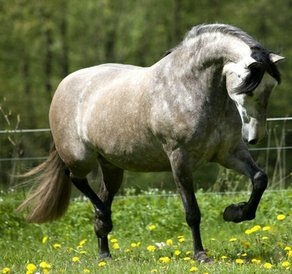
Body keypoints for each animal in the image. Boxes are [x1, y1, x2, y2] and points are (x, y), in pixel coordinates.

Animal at [17, 23, 282, 262]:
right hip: (80, 157)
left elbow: (260, 179)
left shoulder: (229, 153)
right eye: (248, 89)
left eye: (271, 88)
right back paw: (105, 219)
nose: (254, 137)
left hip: (111, 166)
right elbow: (192, 212)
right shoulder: (180, 160)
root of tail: (64, 85)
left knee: (103, 194)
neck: (189, 88)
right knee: (77, 180)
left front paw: (234, 213)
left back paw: (104, 252)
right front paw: (200, 255)